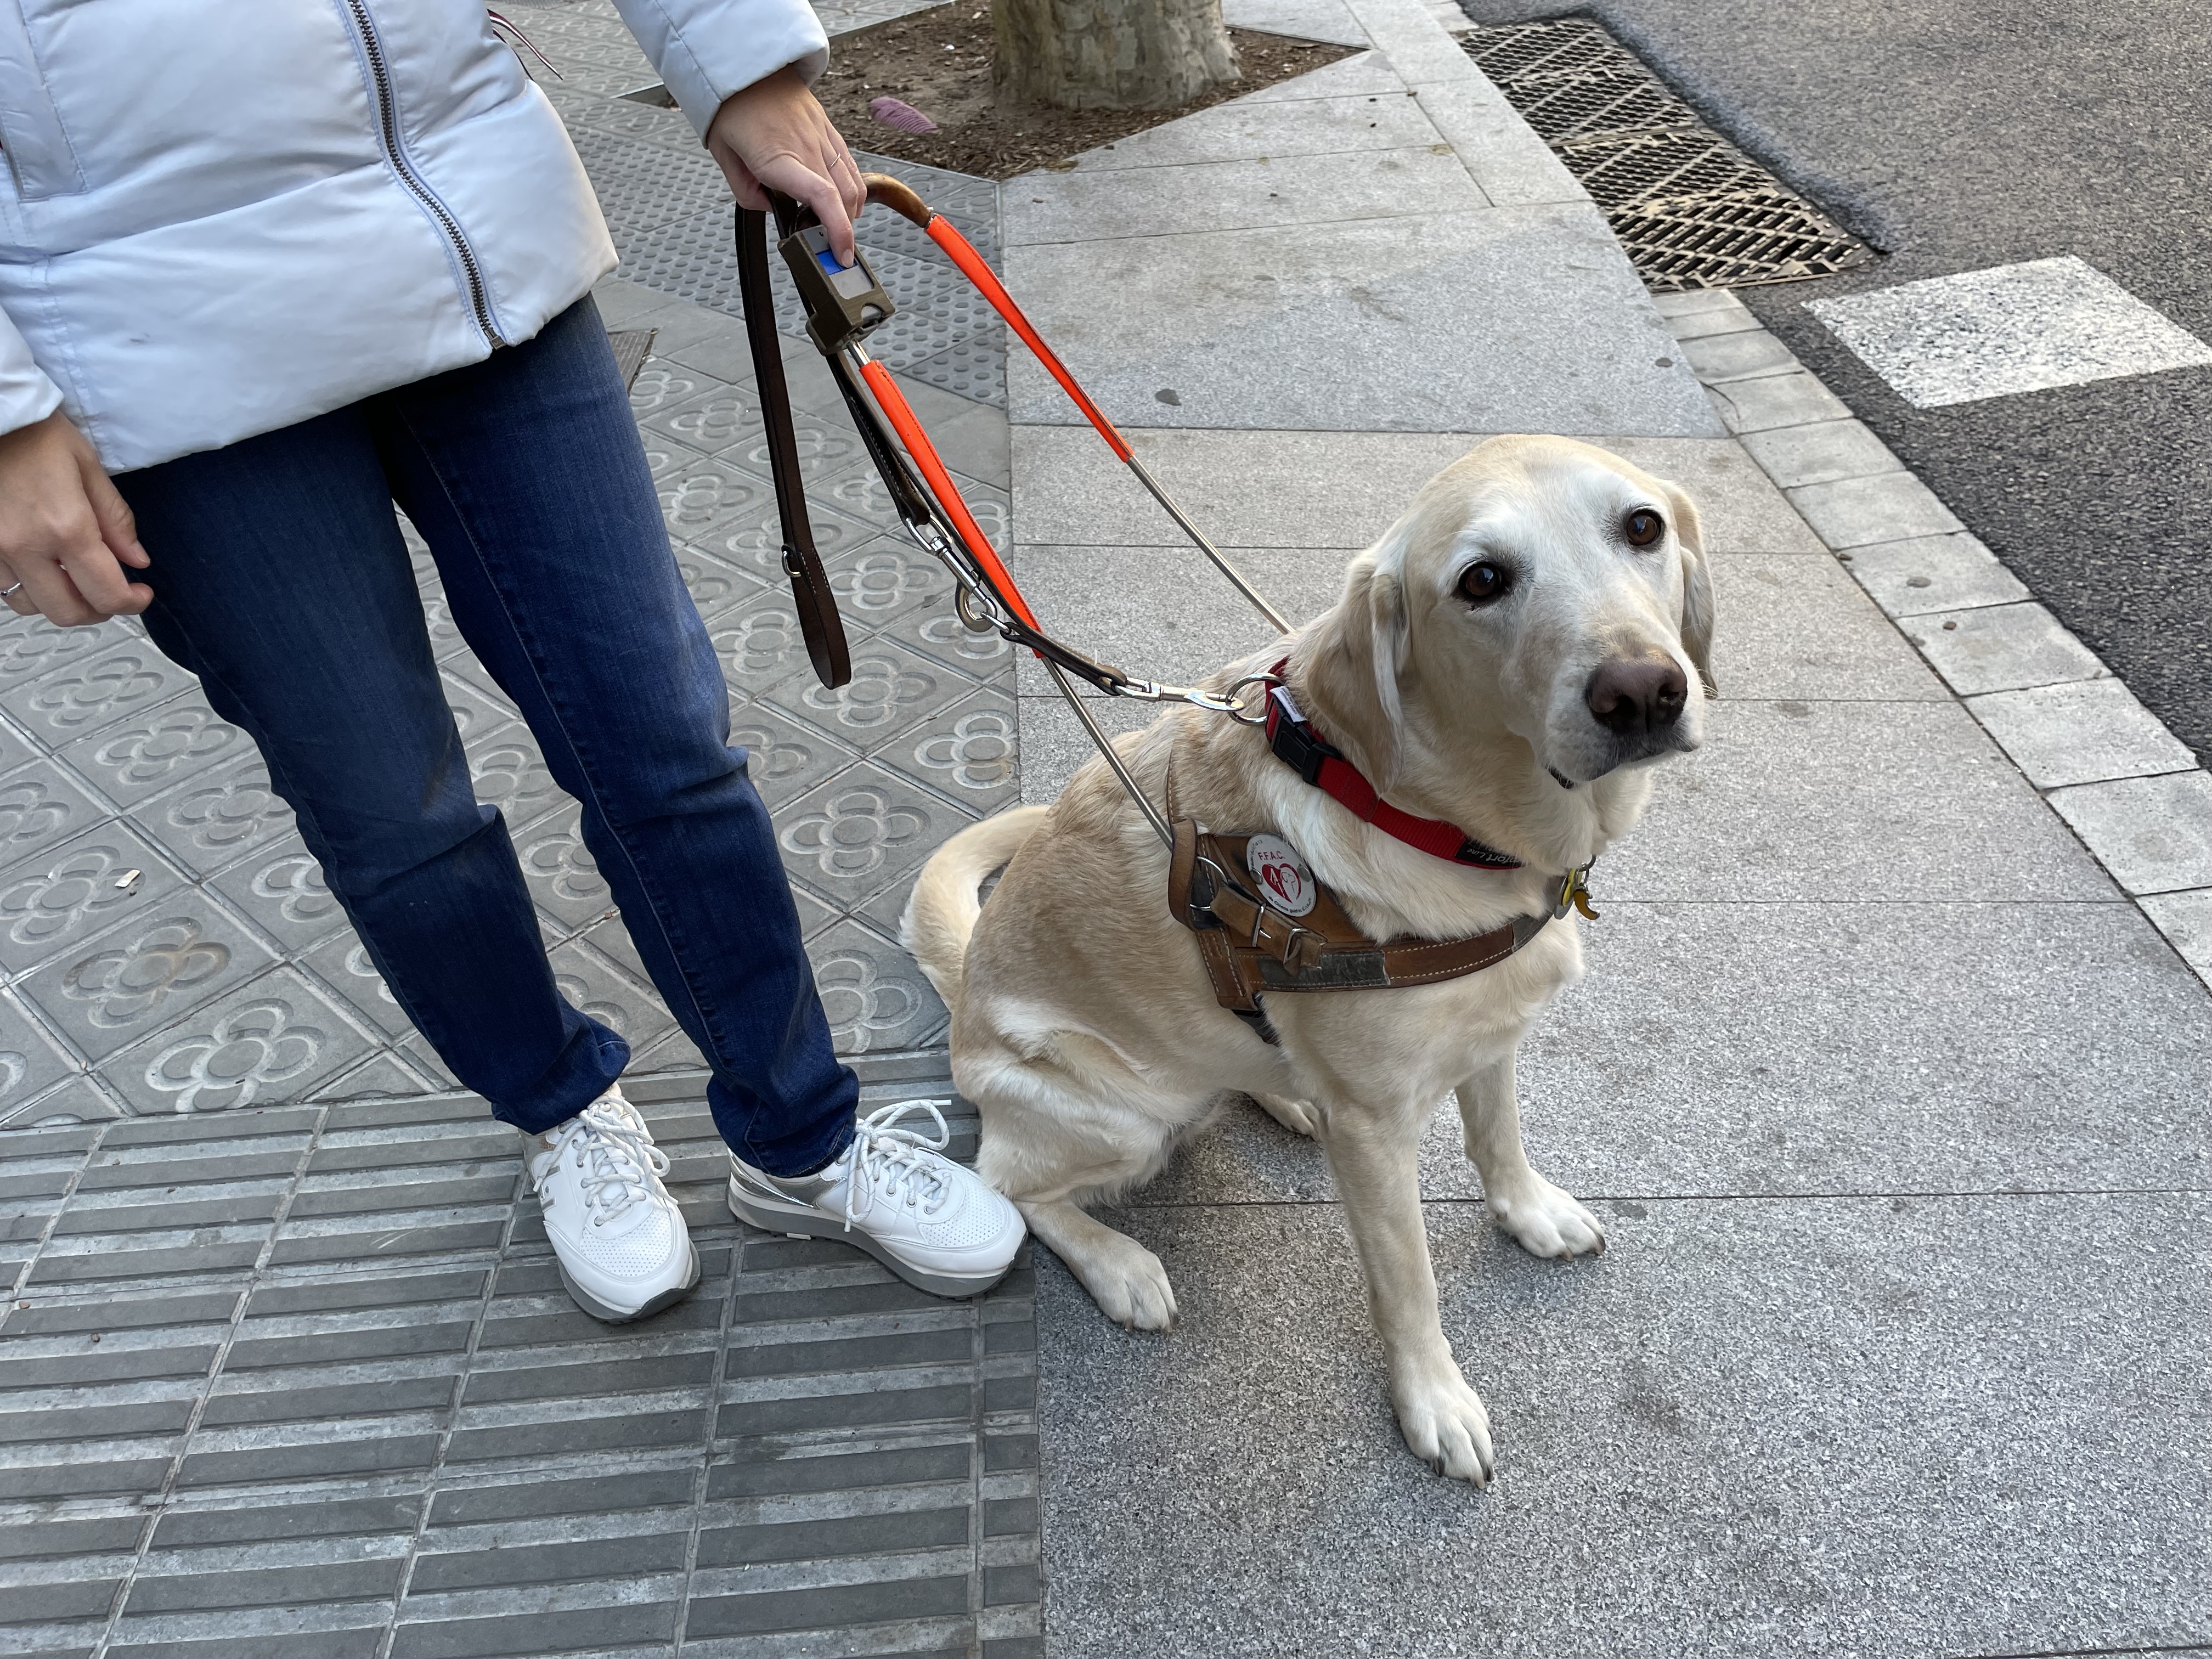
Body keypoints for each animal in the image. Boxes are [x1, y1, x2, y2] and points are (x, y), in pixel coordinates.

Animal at [898, 436, 1707, 1486]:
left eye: (1642, 526)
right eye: (1482, 581)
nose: (1643, 690)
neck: (1446, 826)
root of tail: (963, 995)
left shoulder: (1490, 1033)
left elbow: (1499, 1137)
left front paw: (1528, 1211)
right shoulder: (1375, 1129)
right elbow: (1408, 1283)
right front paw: (1432, 1401)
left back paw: (1280, 1094)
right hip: (1114, 1110)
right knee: (1012, 1184)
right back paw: (1120, 1264)